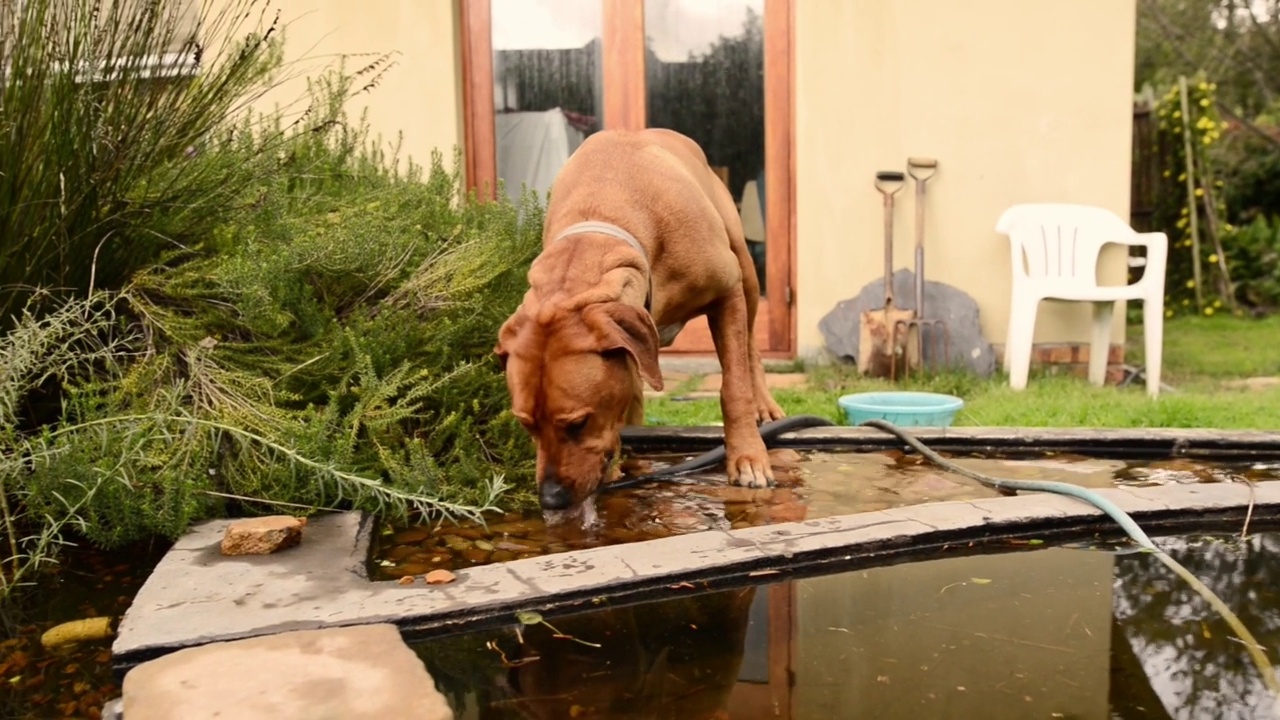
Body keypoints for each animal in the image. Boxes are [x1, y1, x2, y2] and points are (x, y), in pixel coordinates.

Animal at [494, 128, 783, 509]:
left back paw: (764, 404)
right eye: (527, 425)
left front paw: (748, 456)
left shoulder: (727, 291)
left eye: (578, 423)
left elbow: (733, 388)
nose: (550, 499)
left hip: (746, 274)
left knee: (750, 348)